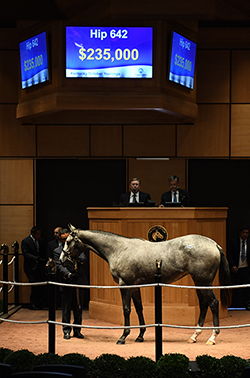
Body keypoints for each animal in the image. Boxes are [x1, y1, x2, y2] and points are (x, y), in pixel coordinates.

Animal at [61, 224, 232, 346]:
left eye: (68, 241)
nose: (62, 259)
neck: (119, 248)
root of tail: (214, 244)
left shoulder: (125, 285)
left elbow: (127, 309)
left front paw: (123, 337)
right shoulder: (135, 287)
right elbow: (139, 308)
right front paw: (140, 335)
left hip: (204, 282)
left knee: (213, 303)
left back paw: (212, 337)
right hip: (198, 283)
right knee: (204, 304)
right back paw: (194, 336)